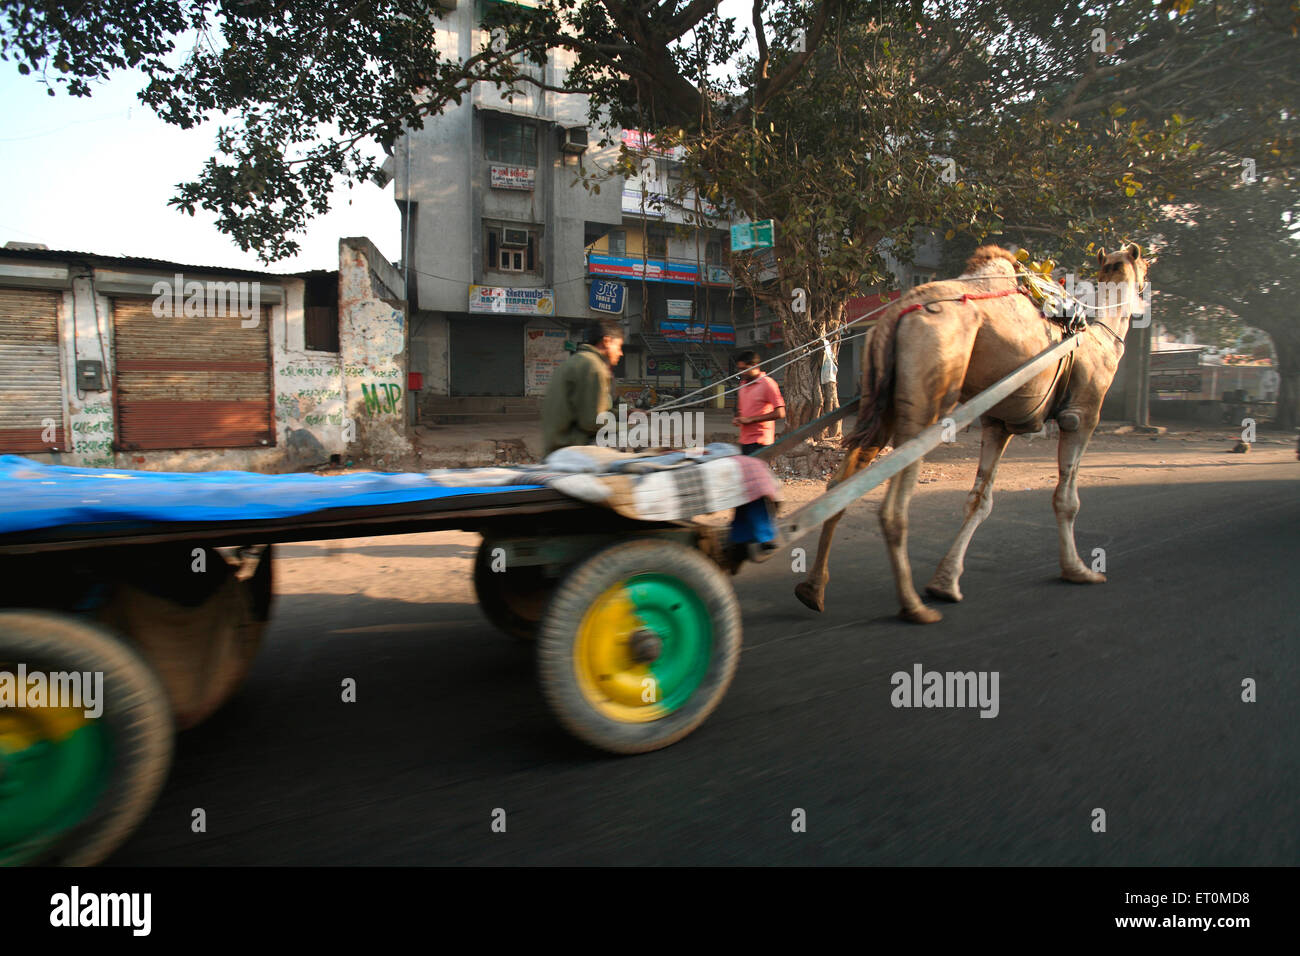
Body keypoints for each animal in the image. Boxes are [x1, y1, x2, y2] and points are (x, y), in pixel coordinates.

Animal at [795, 243, 1154, 624]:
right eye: (1145, 266)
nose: (1146, 291)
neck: (1100, 331)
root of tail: (896, 313)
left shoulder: (998, 423)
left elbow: (979, 500)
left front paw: (945, 583)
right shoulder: (1082, 415)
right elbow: (1066, 500)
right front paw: (1079, 570)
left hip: (882, 402)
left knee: (839, 487)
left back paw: (813, 590)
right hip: (929, 397)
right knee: (893, 505)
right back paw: (913, 606)